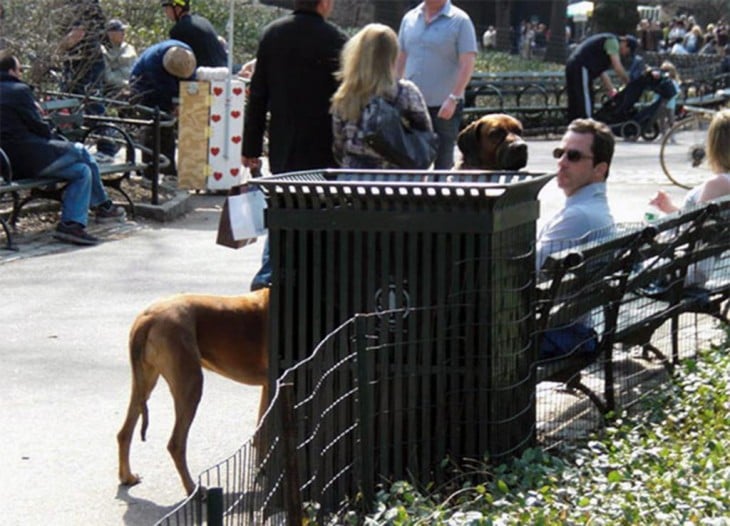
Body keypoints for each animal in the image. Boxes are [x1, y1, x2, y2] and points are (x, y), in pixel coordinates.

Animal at [118, 286, 268, 498]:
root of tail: (148, 317)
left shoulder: (268, 385)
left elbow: (261, 431)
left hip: (144, 383)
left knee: (124, 432)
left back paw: (127, 477)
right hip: (191, 383)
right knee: (175, 443)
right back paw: (192, 489)